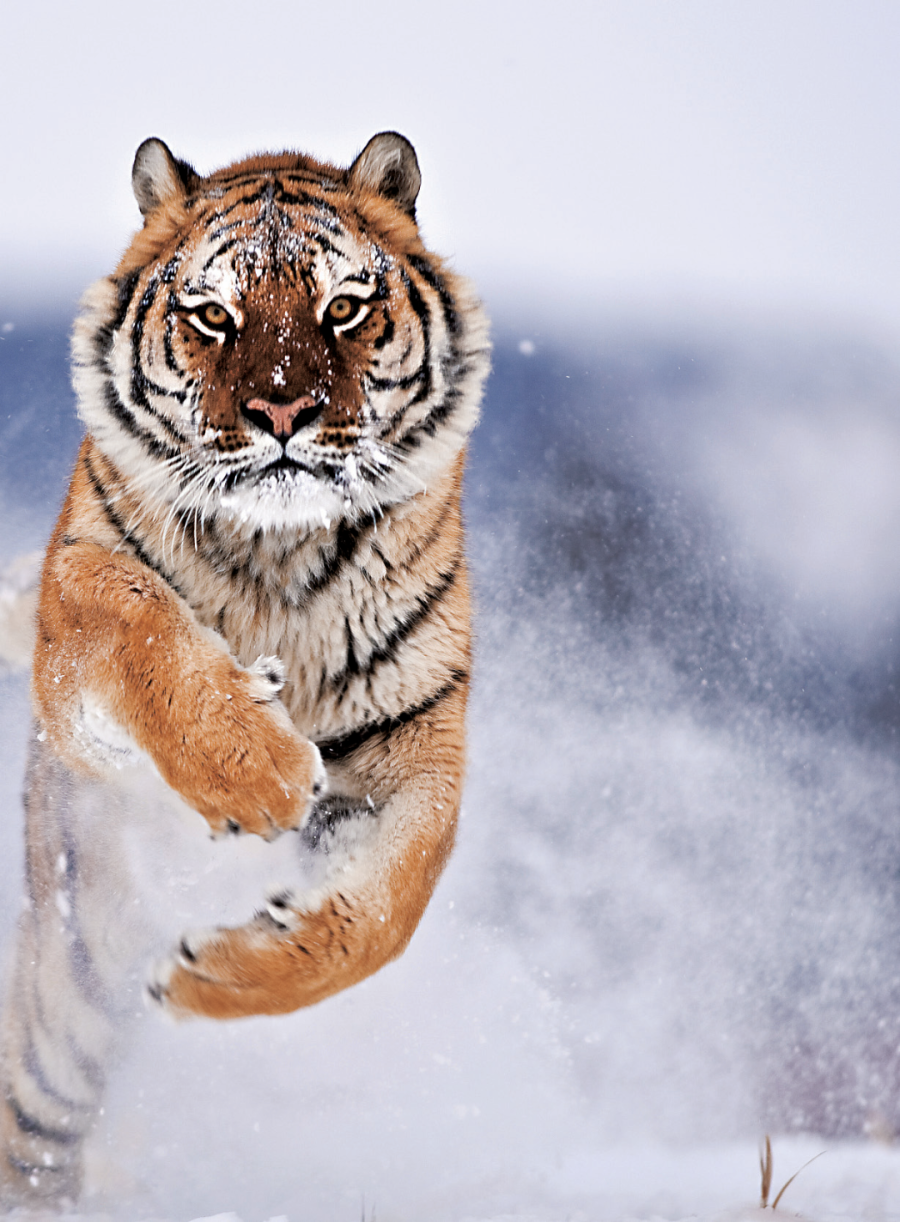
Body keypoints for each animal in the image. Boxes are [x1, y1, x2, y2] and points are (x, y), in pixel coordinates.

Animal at [0, 131, 489, 1202]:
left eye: (342, 307)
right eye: (214, 315)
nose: (282, 409)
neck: (279, 554)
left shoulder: (414, 739)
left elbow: (384, 911)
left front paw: (212, 973)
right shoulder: (76, 618)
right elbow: (143, 622)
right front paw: (257, 770)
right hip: (67, 1004)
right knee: (36, 1127)